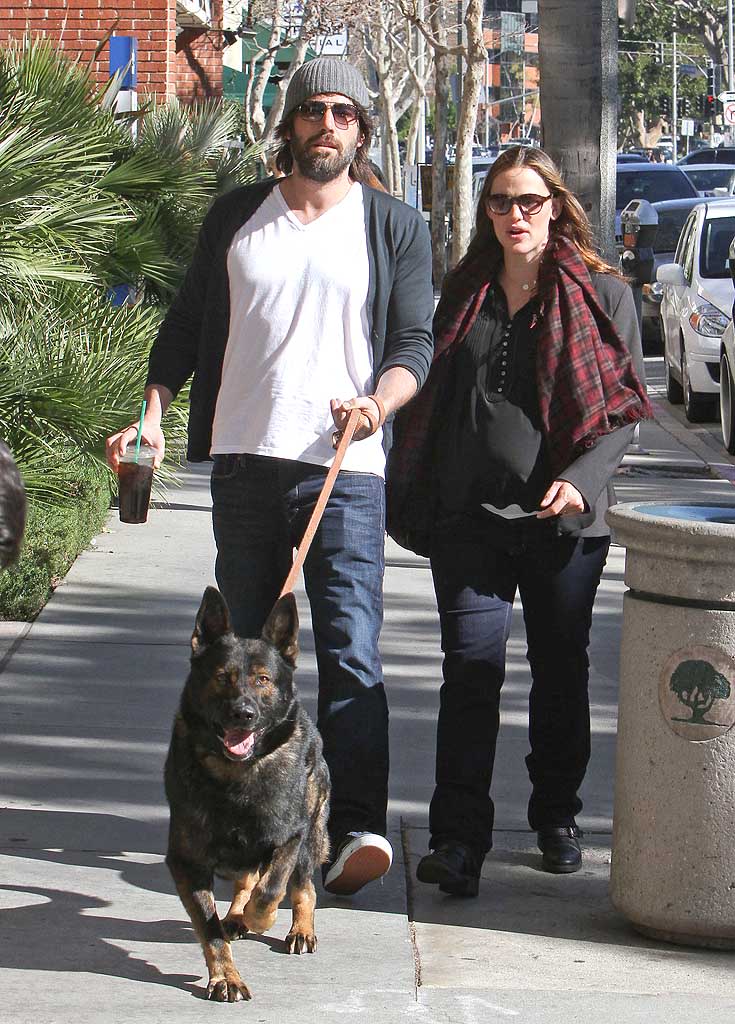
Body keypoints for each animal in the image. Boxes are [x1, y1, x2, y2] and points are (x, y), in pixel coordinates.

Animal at [166, 589, 331, 1003]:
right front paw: (225, 976)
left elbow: (271, 888)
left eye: (263, 679)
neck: (236, 776)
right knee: (245, 881)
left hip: (310, 835)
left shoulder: (290, 837)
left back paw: (299, 928)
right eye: (222, 677)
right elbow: (210, 928)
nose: (244, 713)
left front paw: (263, 916)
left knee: (301, 885)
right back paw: (237, 915)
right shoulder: (187, 862)